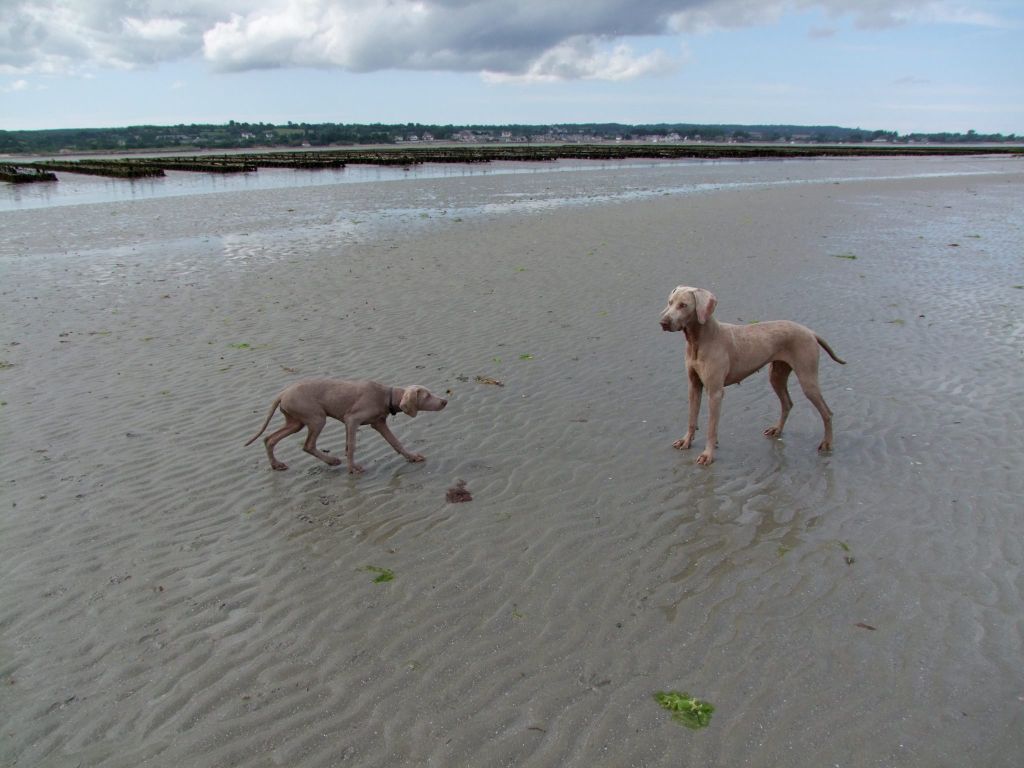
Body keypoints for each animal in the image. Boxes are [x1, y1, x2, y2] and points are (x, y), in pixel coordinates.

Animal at [245, 378, 446, 475]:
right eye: (427, 396)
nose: (444, 401)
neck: (385, 396)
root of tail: (283, 393)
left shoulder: (379, 423)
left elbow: (396, 443)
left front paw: (412, 457)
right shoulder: (352, 419)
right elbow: (351, 446)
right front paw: (353, 469)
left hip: (296, 422)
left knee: (269, 439)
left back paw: (276, 464)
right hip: (316, 418)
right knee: (308, 445)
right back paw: (331, 461)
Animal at [659, 286, 843, 466]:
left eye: (683, 305)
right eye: (670, 302)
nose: (663, 322)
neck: (699, 340)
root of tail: (810, 332)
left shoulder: (715, 392)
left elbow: (712, 428)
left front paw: (707, 454)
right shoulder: (694, 386)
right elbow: (692, 417)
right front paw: (686, 441)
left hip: (807, 379)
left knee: (827, 412)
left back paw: (827, 443)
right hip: (776, 375)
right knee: (787, 403)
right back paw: (777, 429)